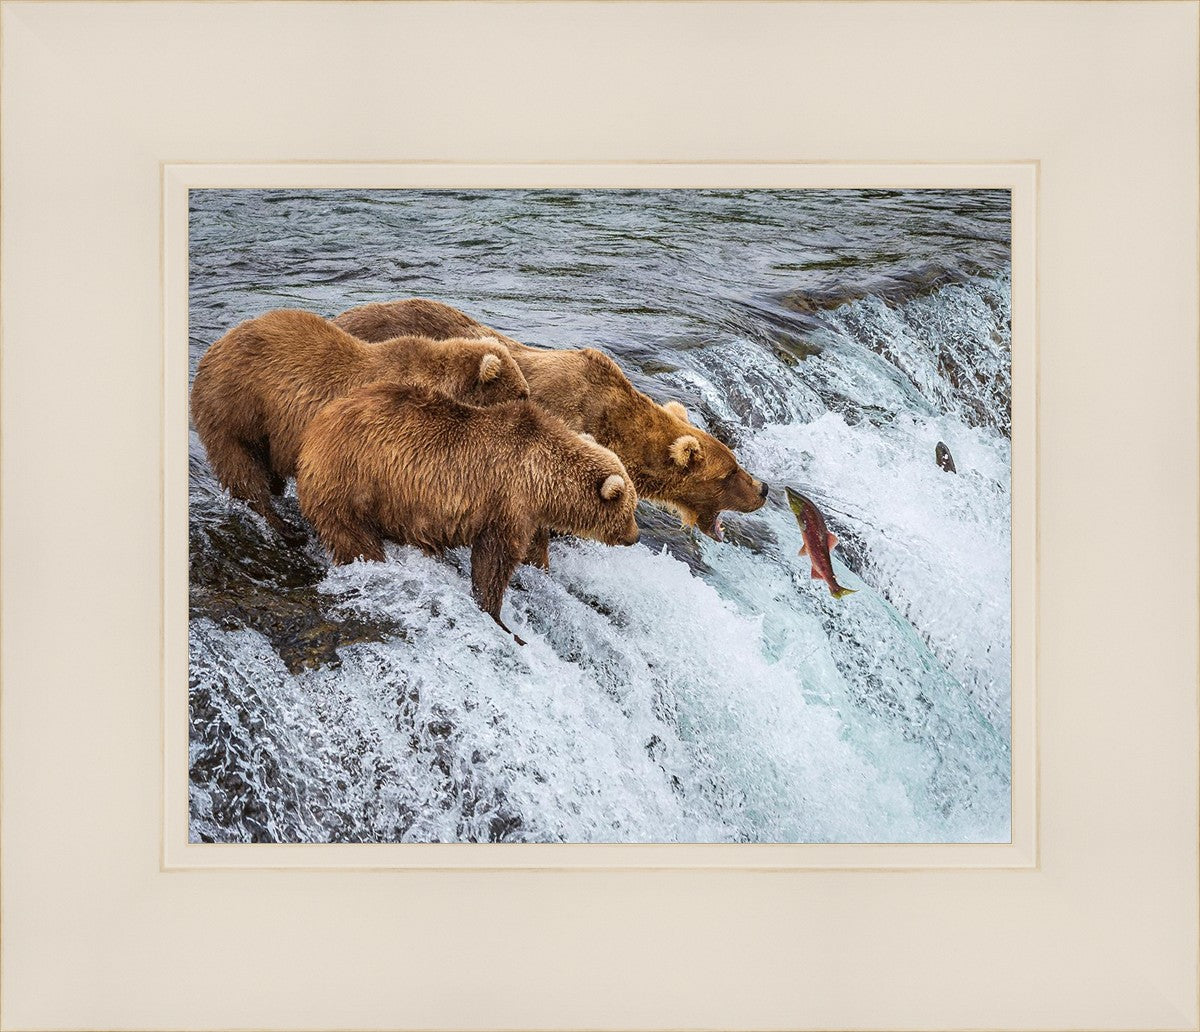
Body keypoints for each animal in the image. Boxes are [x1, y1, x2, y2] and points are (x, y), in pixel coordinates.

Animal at [190, 309, 530, 543]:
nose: (531, 406)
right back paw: (284, 526)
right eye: (521, 393)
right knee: (242, 467)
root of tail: (214, 348)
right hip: (237, 407)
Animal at [295, 383, 641, 644]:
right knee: (354, 537)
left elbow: (532, 549)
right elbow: (494, 560)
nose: (635, 536)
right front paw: (498, 617)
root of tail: (315, 428)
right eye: (630, 509)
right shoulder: (507, 500)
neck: (543, 479)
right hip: (353, 482)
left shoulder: (528, 513)